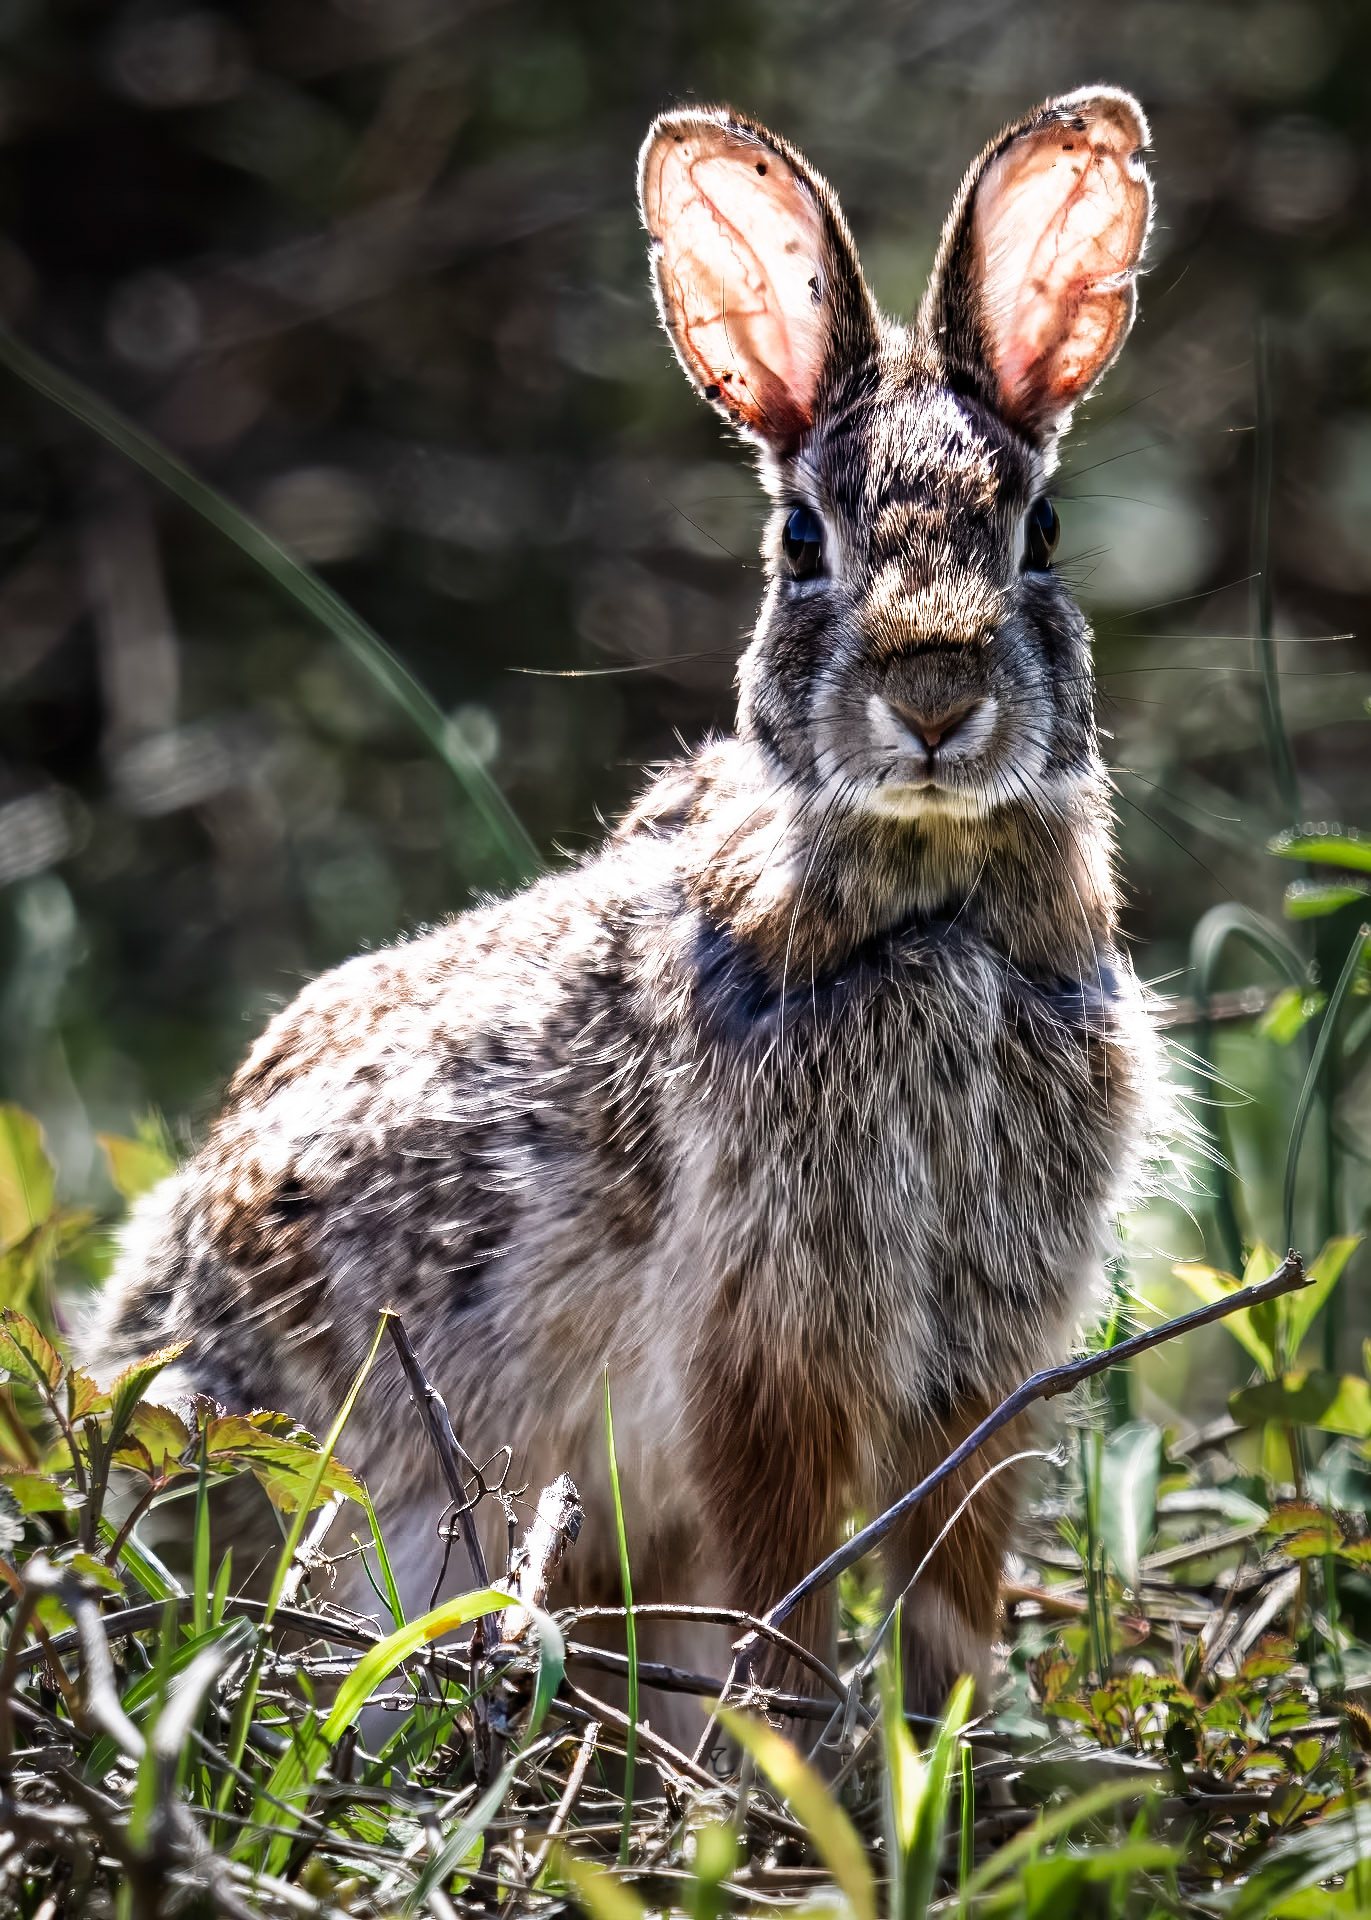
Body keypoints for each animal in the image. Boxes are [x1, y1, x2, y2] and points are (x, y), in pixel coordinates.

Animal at [80, 86, 1163, 1727]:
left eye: (1037, 532)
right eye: (801, 544)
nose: (932, 692)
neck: (934, 923)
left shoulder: (980, 1361)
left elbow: (950, 1580)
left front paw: (950, 1754)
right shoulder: (757, 1343)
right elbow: (782, 1569)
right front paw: (798, 1756)